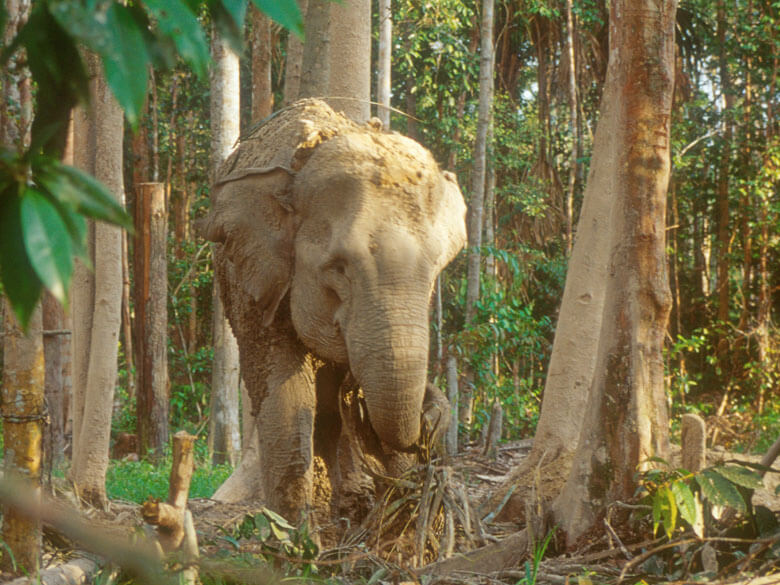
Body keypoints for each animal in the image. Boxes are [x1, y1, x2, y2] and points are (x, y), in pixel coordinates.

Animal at [201, 98, 466, 524]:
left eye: (437, 270)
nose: (430, 417)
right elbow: (287, 399)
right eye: (339, 268)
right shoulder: (256, 280)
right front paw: (295, 533)